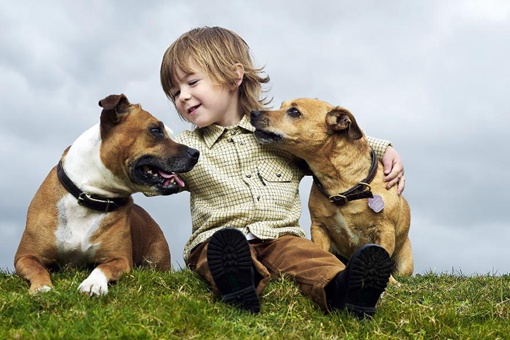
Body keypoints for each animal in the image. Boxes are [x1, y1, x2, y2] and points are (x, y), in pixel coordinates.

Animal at [14, 93, 198, 294]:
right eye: (155, 130)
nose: (195, 152)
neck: (89, 196)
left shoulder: (119, 259)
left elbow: (102, 267)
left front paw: (93, 283)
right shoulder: (25, 256)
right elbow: (37, 268)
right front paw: (42, 287)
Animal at [251, 99, 414, 284]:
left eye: (294, 112)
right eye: (281, 106)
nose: (253, 113)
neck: (341, 185)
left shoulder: (384, 230)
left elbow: (383, 255)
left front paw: (390, 282)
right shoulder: (319, 228)